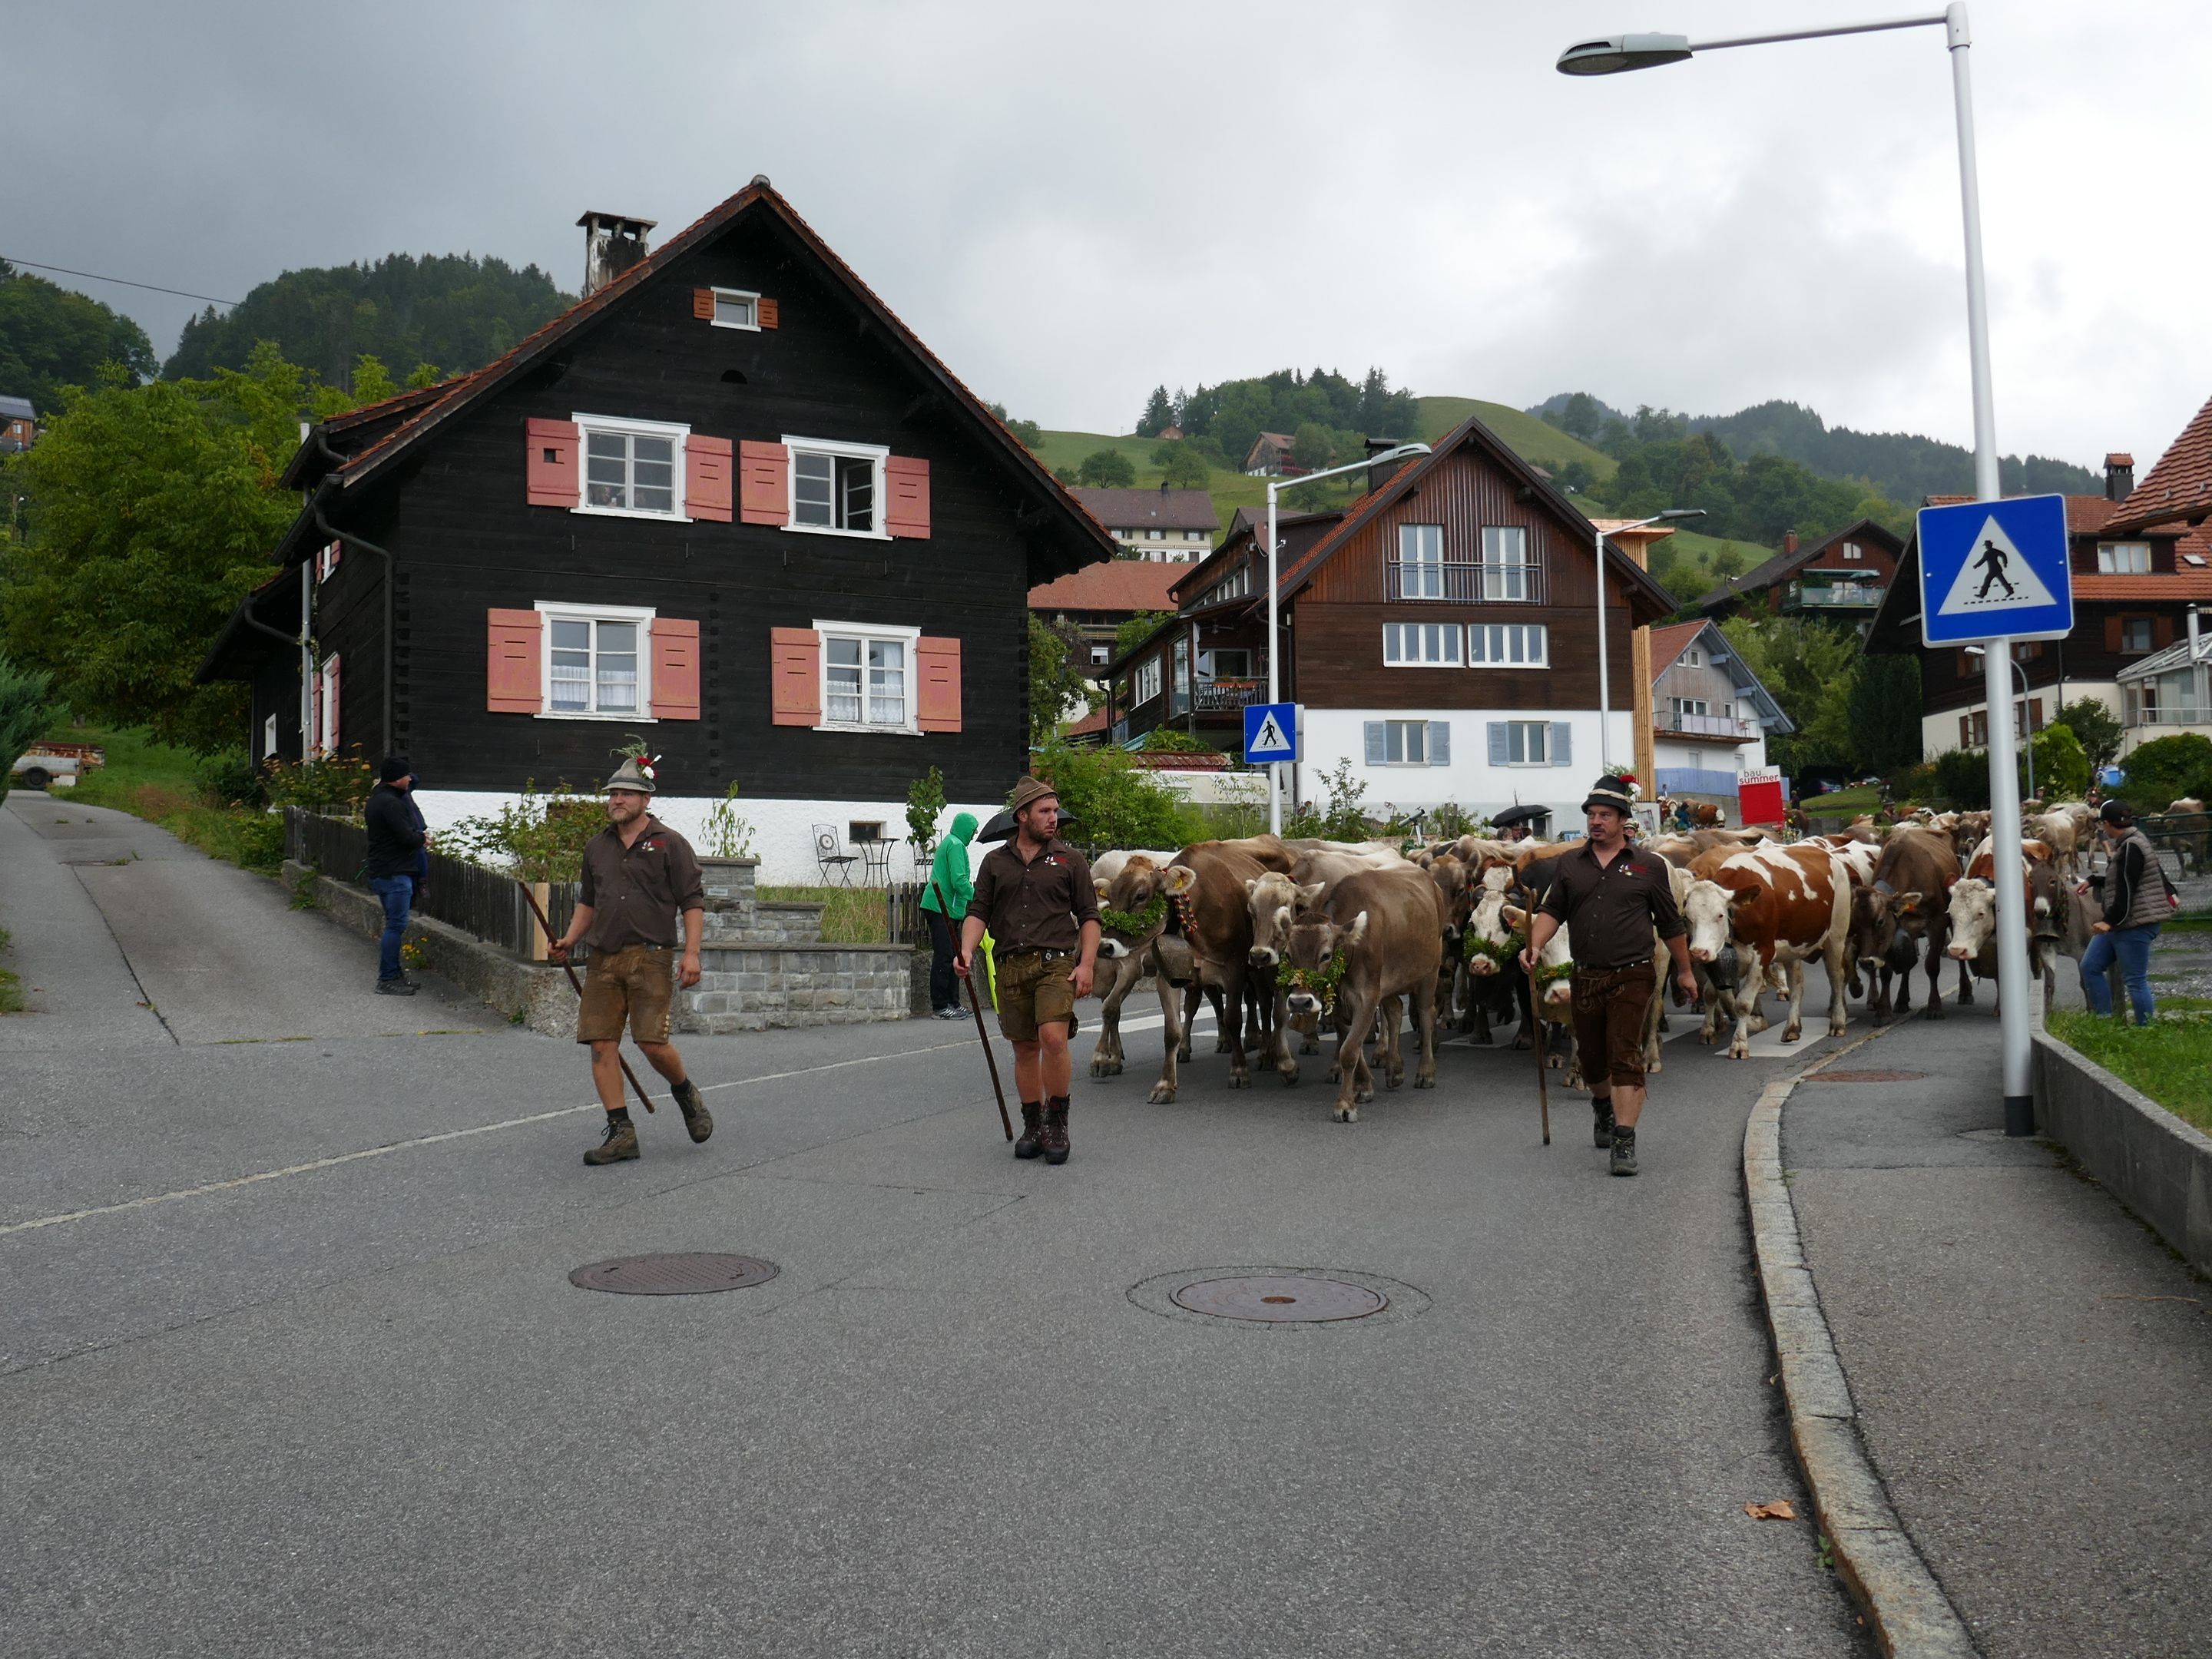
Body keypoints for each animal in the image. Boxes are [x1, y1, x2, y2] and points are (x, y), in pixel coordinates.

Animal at [1690, 845, 1849, 1066]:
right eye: (1688, 917)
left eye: (1720, 915)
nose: (1698, 952)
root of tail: (1826, 853)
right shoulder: (1720, 960)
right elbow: (1709, 993)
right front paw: (1707, 1031)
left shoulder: (1762, 955)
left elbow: (1743, 1004)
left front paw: (1739, 1045)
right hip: (1793, 948)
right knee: (1797, 984)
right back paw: (1792, 1028)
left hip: (1836, 935)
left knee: (1836, 977)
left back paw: (1838, 1022)